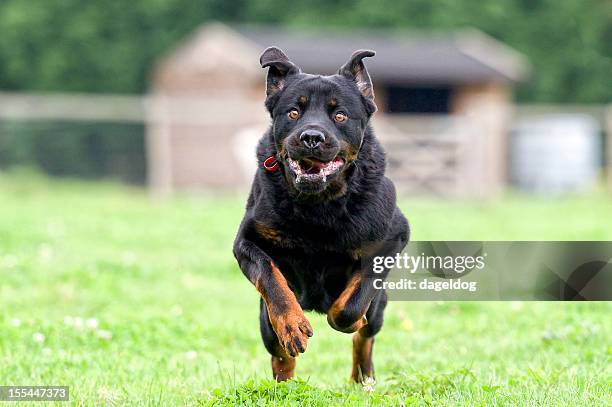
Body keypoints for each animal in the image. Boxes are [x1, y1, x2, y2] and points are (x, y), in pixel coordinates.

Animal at [232, 47, 408, 382]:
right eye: (293, 113)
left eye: (340, 115)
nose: (311, 137)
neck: (319, 203)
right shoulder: (247, 240)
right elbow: (271, 278)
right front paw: (292, 325)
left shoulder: (393, 237)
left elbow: (352, 304)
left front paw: (349, 318)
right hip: (263, 319)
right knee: (277, 349)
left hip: (380, 306)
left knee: (366, 335)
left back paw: (362, 378)